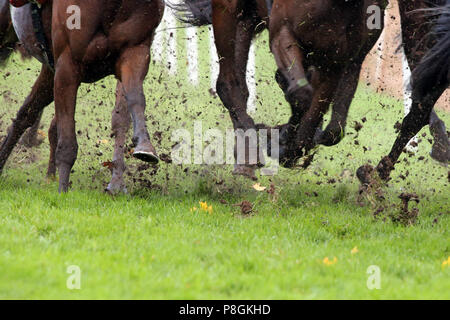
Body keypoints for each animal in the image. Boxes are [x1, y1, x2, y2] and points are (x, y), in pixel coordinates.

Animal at [0, 0, 165, 192]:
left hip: (48, 71)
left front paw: (142, 149)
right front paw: (62, 191)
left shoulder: (135, 51)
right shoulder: (67, 65)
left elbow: (133, 102)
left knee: (25, 114)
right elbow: (66, 140)